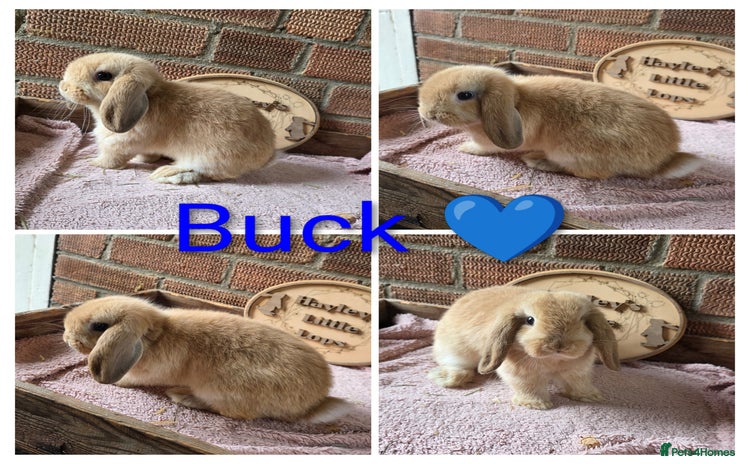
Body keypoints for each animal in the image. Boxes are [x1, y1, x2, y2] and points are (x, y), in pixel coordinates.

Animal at [58, 52, 276, 184]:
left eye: (103, 75)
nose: (63, 86)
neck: (151, 98)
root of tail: (267, 152)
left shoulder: (119, 144)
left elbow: (111, 159)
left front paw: (94, 163)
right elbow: (146, 155)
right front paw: (143, 160)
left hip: (211, 157)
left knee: (202, 173)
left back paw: (165, 173)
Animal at [62, 295, 352, 423]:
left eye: (99, 326)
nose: (65, 336)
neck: (155, 335)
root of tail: (315, 402)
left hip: (223, 390)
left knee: (233, 413)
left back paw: (183, 396)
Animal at [417, 65, 702, 179]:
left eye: (464, 95)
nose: (426, 113)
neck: (516, 99)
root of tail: (662, 160)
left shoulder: (490, 143)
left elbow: (483, 148)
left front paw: (465, 148)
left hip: (571, 152)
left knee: (587, 174)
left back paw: (538, 161)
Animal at [428, 285, 620, 410]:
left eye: (582, 321)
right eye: (530, 320)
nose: (558, 345)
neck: (553, 360)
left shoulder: (577, 372)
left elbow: (579, 384)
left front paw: (590, 396)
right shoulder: (522, 375)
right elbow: (529, 388)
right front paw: (536, 404)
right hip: (455, 353)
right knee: (457, 368)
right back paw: (447, 378)